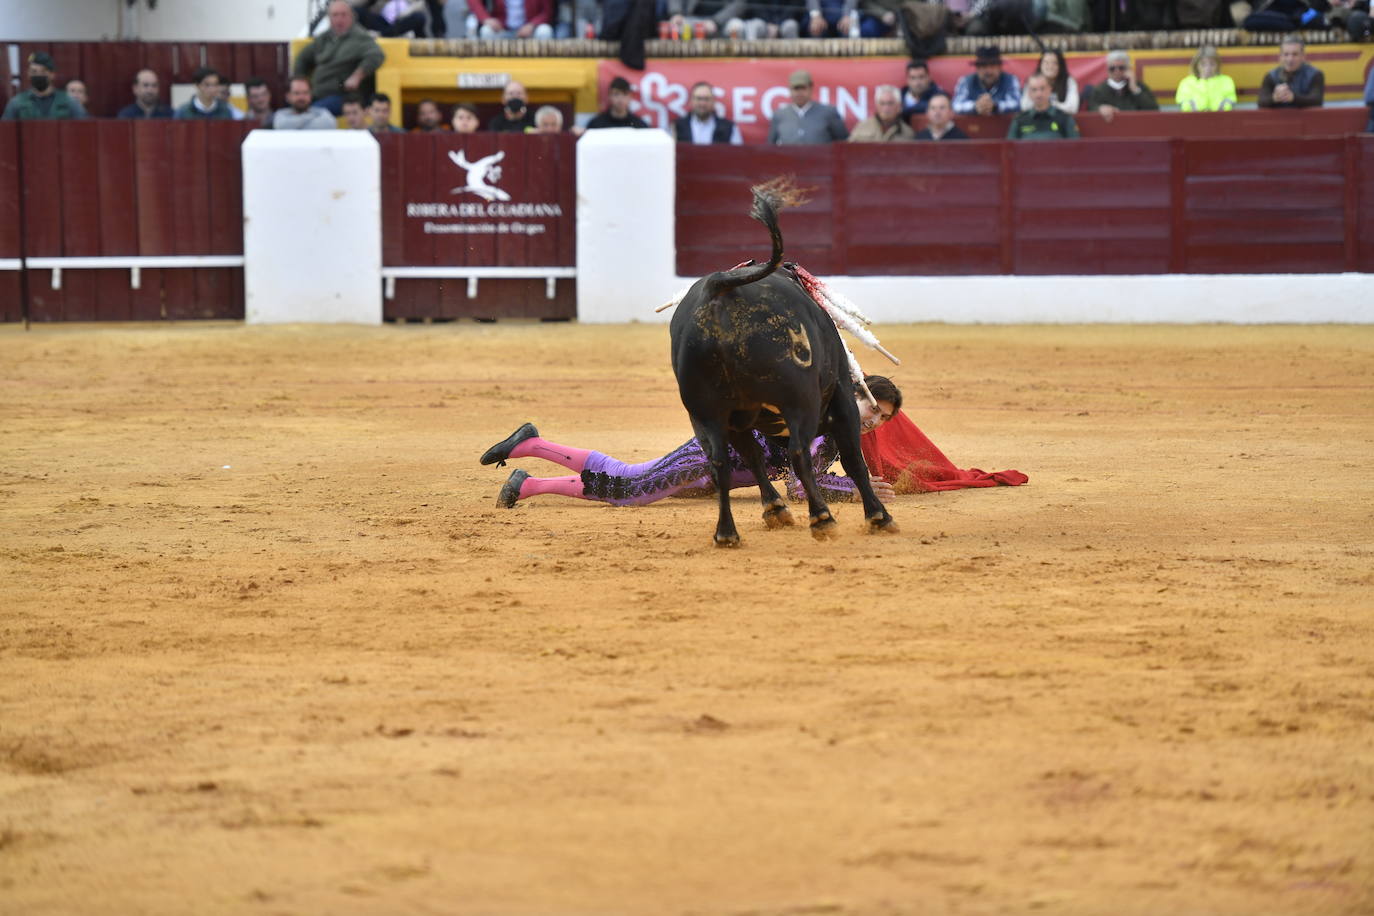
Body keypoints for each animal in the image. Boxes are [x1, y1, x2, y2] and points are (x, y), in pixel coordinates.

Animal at [667, 182, 901, 549]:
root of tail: (719, 288)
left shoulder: (737, 419)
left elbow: (751, 457)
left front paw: (775, 511)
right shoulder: (843, 403)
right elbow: (854, 461)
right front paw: (879, 516)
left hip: (705, 412)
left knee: (720, 461)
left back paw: (727, 532)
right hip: (798, 400)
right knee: (799, 454)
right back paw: (822, 519)